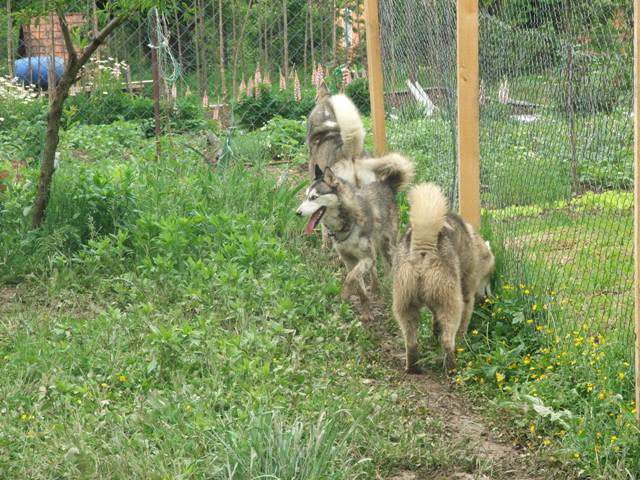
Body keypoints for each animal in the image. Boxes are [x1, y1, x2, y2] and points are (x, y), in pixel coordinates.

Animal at [296, 153, 416, 322]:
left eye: (314, 197)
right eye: (306, 196)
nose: (297, 213)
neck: (346, 222)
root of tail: (386, 184)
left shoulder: (365, 258)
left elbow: (351, 277)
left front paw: (345, 292)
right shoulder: (349, 259)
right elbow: (359, 288)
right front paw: (366, 311)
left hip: (387, 247)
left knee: (388, 270)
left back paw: (386, 290)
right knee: (374, 269)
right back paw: (375, 287)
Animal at [390, 182, 496, 374]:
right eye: (489, 277)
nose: (489, 298)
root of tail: (424, 246)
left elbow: (434, 321)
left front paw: (434, 334)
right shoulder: (467, 296)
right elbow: (463, 324)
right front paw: (463, 340)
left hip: (405, 305)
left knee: (411, 341)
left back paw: (413, 366)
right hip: (451, 305)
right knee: (448, 339)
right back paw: (453, 367)